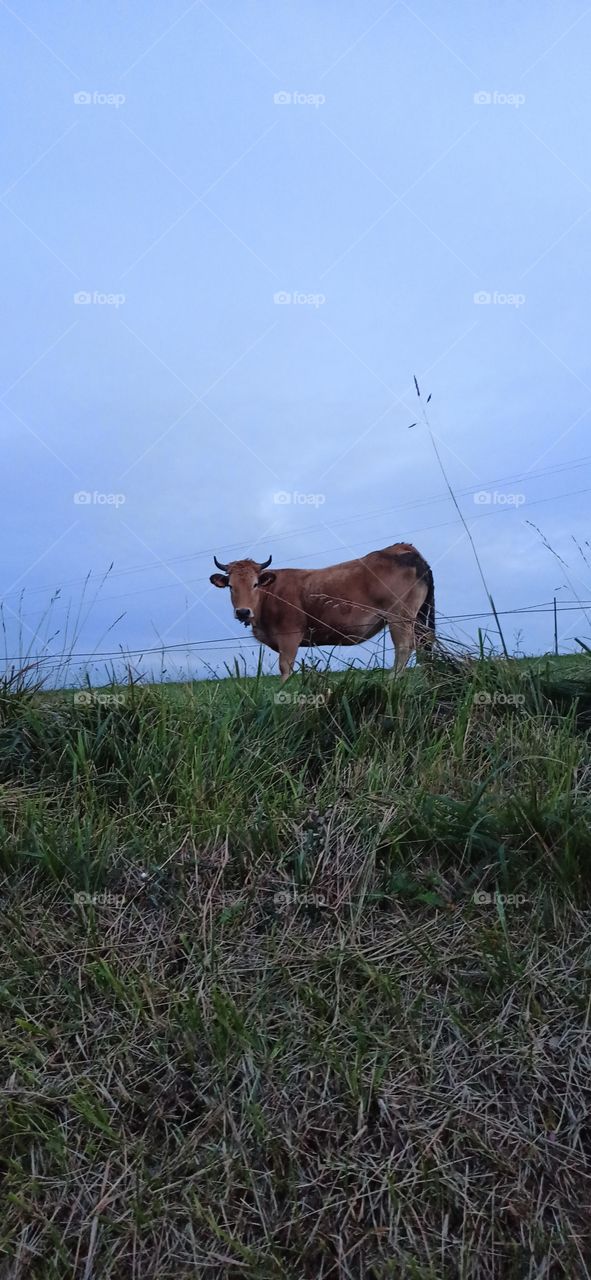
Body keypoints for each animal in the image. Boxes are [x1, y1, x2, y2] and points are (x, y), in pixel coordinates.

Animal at [209, 540, 437, 680]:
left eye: (255, 584)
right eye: (231, 586)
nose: (243, 612)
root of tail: (403, 548)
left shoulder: (289, 635)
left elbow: (285, 667)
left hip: (399, 616)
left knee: (405, 646)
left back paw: (393, 679)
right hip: (417, 615)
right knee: (424, 642)